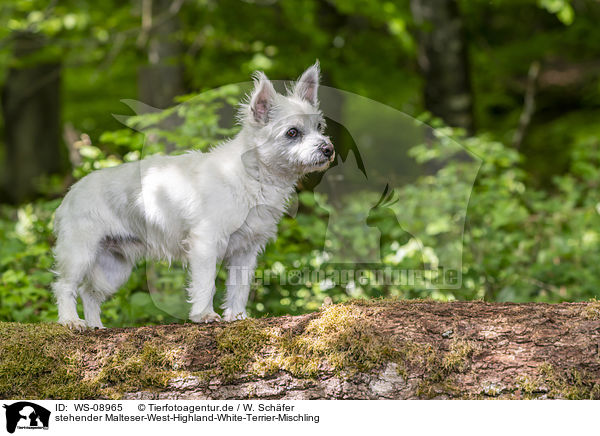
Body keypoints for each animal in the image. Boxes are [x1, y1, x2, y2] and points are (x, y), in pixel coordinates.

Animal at [51, 62, 332, 330]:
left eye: (319, 127)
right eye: (292, 132)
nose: (328, 148)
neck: (253, 176)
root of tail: (71, 192)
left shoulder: (245, 252)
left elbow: (239, 289)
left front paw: (238, 317)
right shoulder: (206, 244)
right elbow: (206, 284)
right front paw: (204, 315)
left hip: (113, 268)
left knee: (89, 293)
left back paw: (95, 326)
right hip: (80, 254)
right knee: (65, 286)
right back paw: (71, 321)